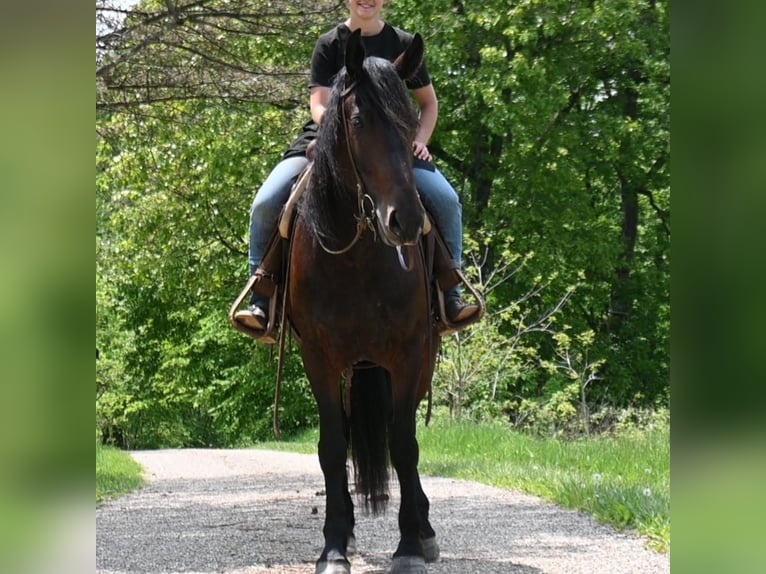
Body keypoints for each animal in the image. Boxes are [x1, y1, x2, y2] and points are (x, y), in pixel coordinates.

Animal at [286, 30, 444, 574]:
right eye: (357, 121)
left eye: (409, 123)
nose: (406, 221)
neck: (353, 257)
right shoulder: (318, 356)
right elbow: (334, 446)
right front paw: (334, 546)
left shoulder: (410, 353)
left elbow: (404, 444)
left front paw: (411, 546)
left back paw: (425, 529)